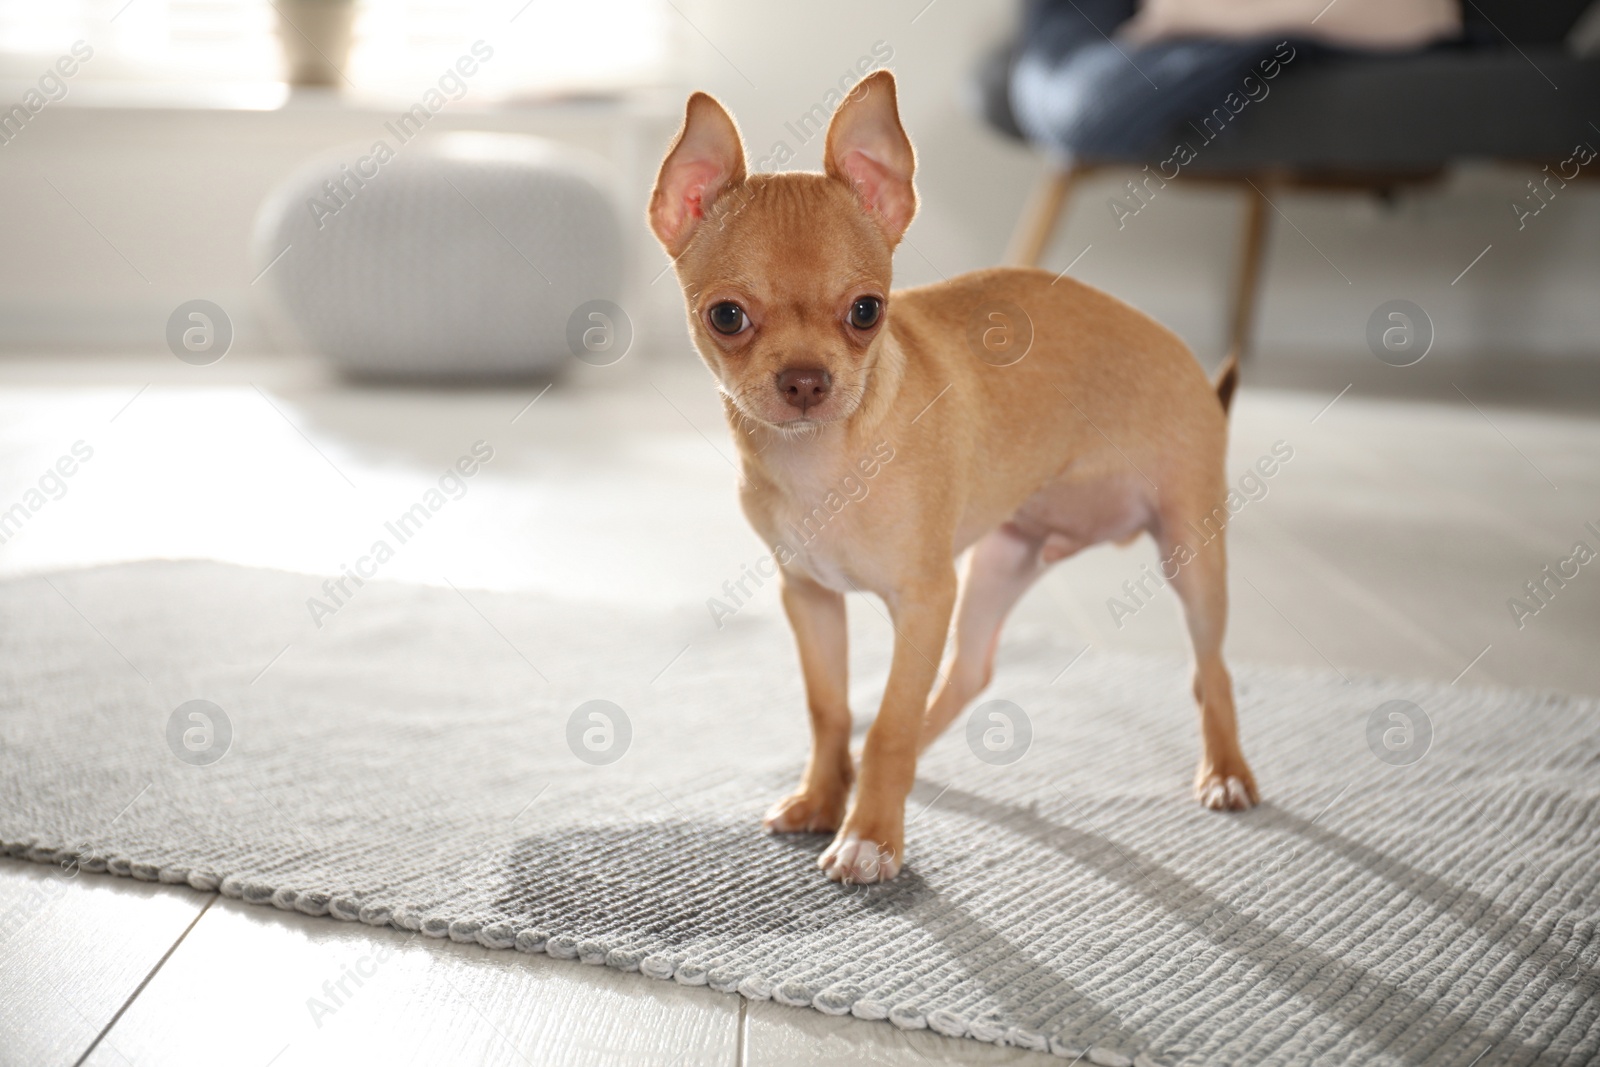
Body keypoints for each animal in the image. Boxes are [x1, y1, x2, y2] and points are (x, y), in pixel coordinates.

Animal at [643, 70, 1254, 883]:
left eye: (867, 310)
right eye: (726, 317)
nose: (805, 379)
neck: (824, 463)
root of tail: (1191, 365)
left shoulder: (925, 599)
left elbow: (890, 724)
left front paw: (870, 834)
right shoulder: (810, 597)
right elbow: (833, 711)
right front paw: (823, 797)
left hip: (1191, 553)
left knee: (1209, 667)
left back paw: (1226, 771)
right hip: (1006, 558)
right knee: (970, 673)